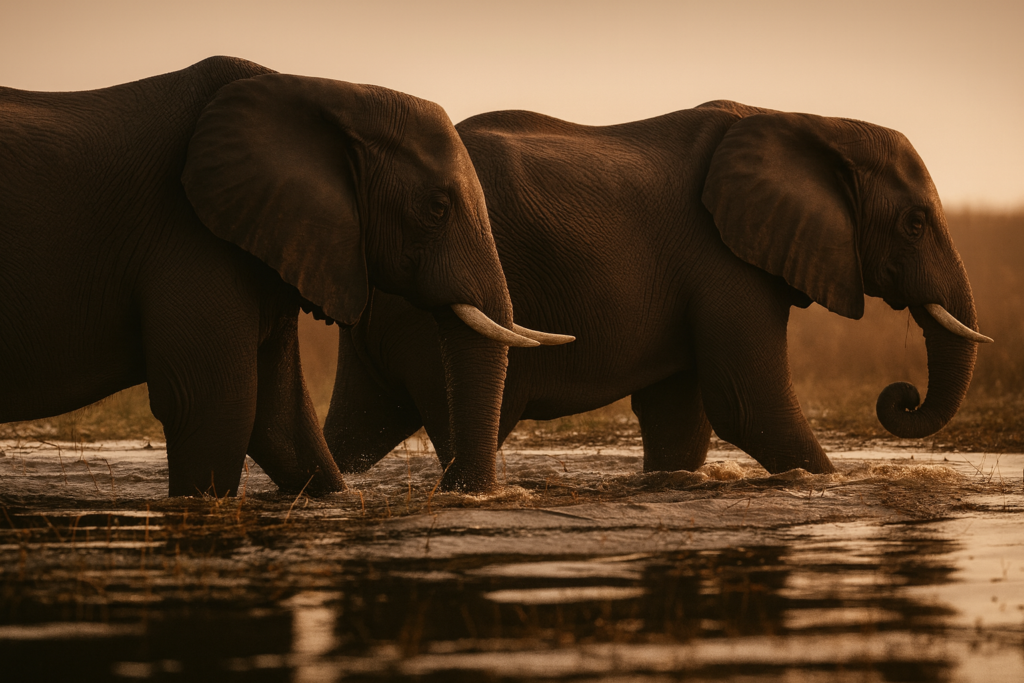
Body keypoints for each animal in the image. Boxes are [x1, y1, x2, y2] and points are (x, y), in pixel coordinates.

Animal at [0, 56, 569, 498]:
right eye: (436, 207)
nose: (464, 493)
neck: (326, 92)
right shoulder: (190, 235)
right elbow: (213, 402)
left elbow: (282, 421)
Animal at [324, 100, 992, 484]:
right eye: (914, 223)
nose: (900, 396)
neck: (811, 121)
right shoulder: (722, 259)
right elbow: (747, 404)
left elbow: (681, 419)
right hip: (425, 310)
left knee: (359, 424)